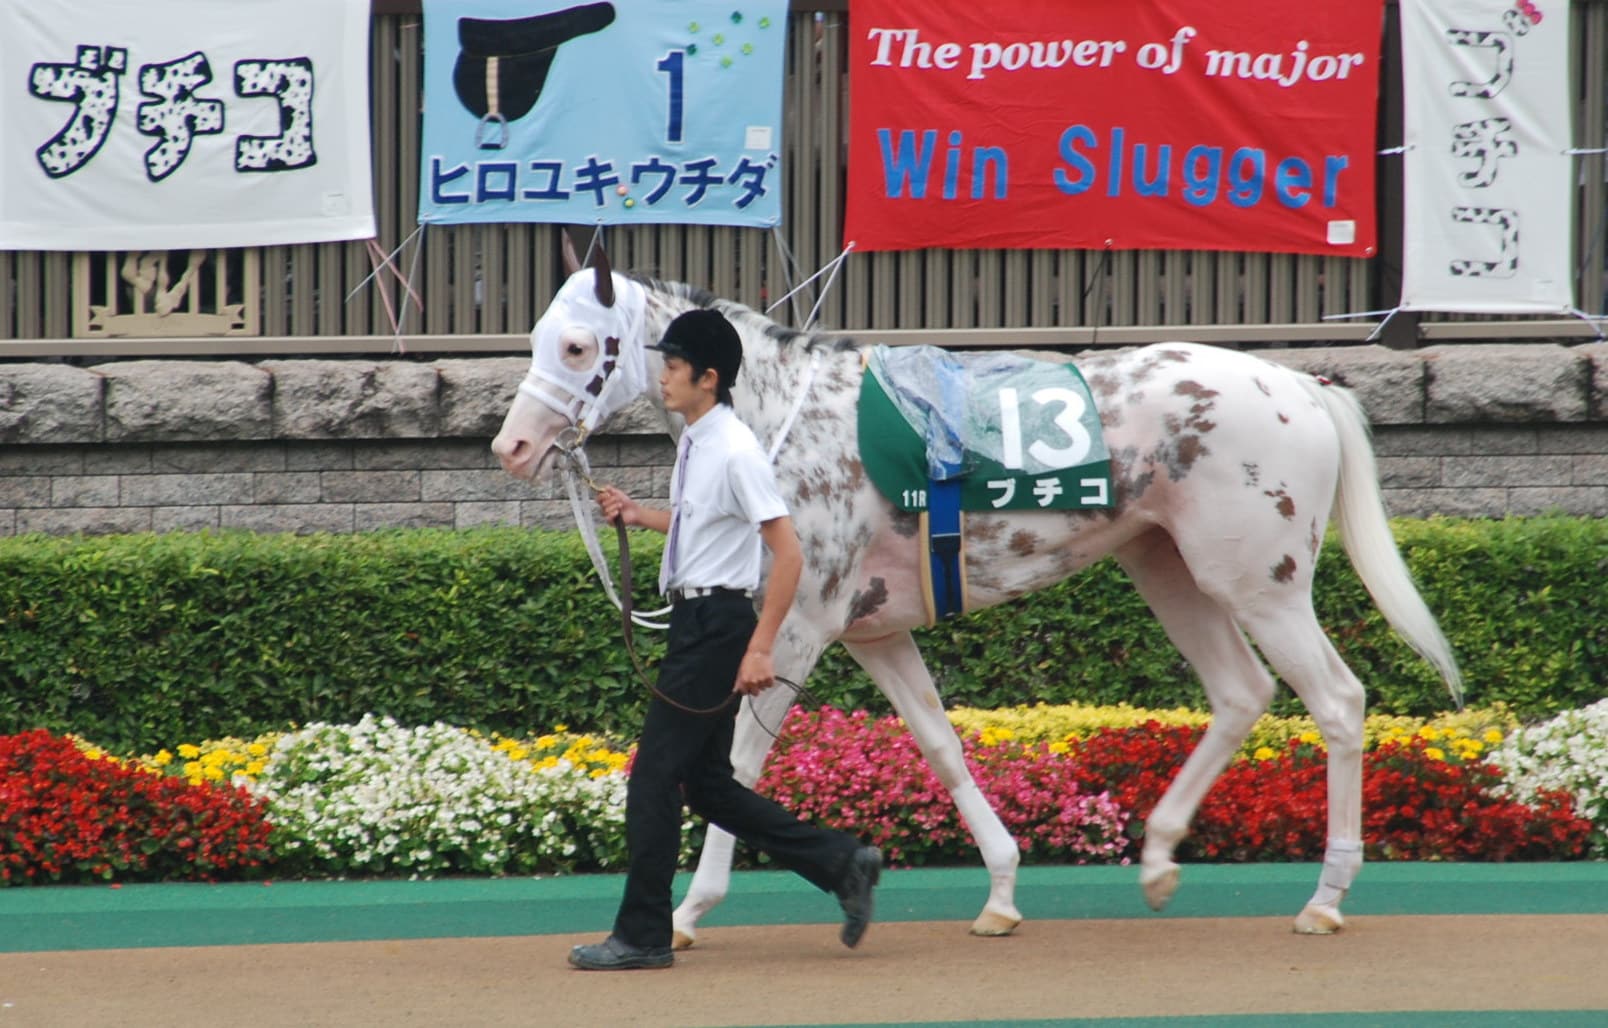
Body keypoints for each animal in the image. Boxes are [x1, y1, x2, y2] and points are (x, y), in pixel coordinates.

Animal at [491, 238, 1462, 946]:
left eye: (577, 344)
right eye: (537, 337)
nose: (511, 446)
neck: (776, 420)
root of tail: (1301, 381)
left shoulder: (796, 625)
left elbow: (736, 762)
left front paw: (691, 910)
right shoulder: (874, 629)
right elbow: (940, 744)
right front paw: (998, 888)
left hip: (1261, 582)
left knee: (1337, 701)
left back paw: (1326, 896)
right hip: (1168, 567)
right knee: (1240, 692)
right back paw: (1156, 858)